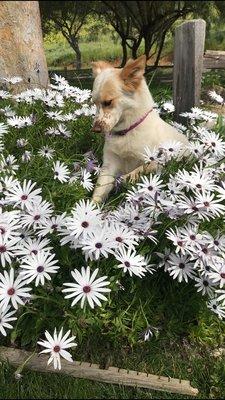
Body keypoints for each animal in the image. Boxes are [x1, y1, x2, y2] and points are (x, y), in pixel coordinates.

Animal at [91, 54, 188, 202]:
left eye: (108, 102)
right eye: (94, 103)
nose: (95, 130)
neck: (127, 131)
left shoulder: (156, 162)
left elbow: (137, 170)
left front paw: (124, 179)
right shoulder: (109, 165)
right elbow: (99, 190)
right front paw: (90, 206)